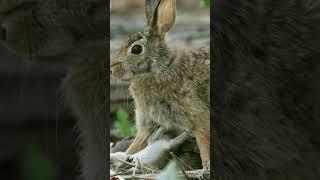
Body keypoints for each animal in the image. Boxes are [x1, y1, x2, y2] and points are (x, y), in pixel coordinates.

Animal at [110, 0, 210, 169]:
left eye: (136, 49)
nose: (111, 69)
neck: (161, 68)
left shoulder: (198, 117)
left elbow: (204, 146)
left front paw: (206, 168)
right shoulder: (147, 120)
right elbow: (137, 143)